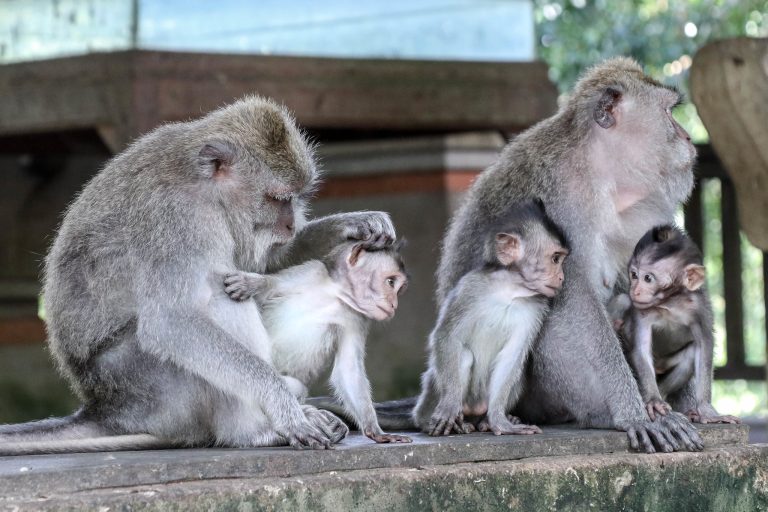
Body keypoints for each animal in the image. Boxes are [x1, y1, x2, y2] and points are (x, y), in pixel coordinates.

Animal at [222, 240, 412, 444]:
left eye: (399, 289)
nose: (394, 305)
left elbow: (348, 369)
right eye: (391, 282)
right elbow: (271, 287)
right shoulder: (310, 272)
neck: (335, 296)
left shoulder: (357, 319)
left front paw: (375, 431)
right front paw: (253, 283)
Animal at [413, 200, 568, 437]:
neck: (510, 290)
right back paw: (448, 421)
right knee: (463, 354)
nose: (561, 277)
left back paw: (487, 420)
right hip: (436, 396)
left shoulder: (536, 308)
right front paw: (449, 407)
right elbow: (447, 336)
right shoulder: (471, 288)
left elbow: (512, 355)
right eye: (555, 259)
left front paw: (500, 422)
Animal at [615, 225, 741, 425]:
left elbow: (704, 347)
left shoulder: (700, 309)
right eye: (634, 275)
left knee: (690, 354)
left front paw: (707, 411)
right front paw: (654, 400)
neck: (670, 303)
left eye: (648, 278)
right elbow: (641, 349)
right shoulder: (642, 310)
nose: (636, 290)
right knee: (621, 301)